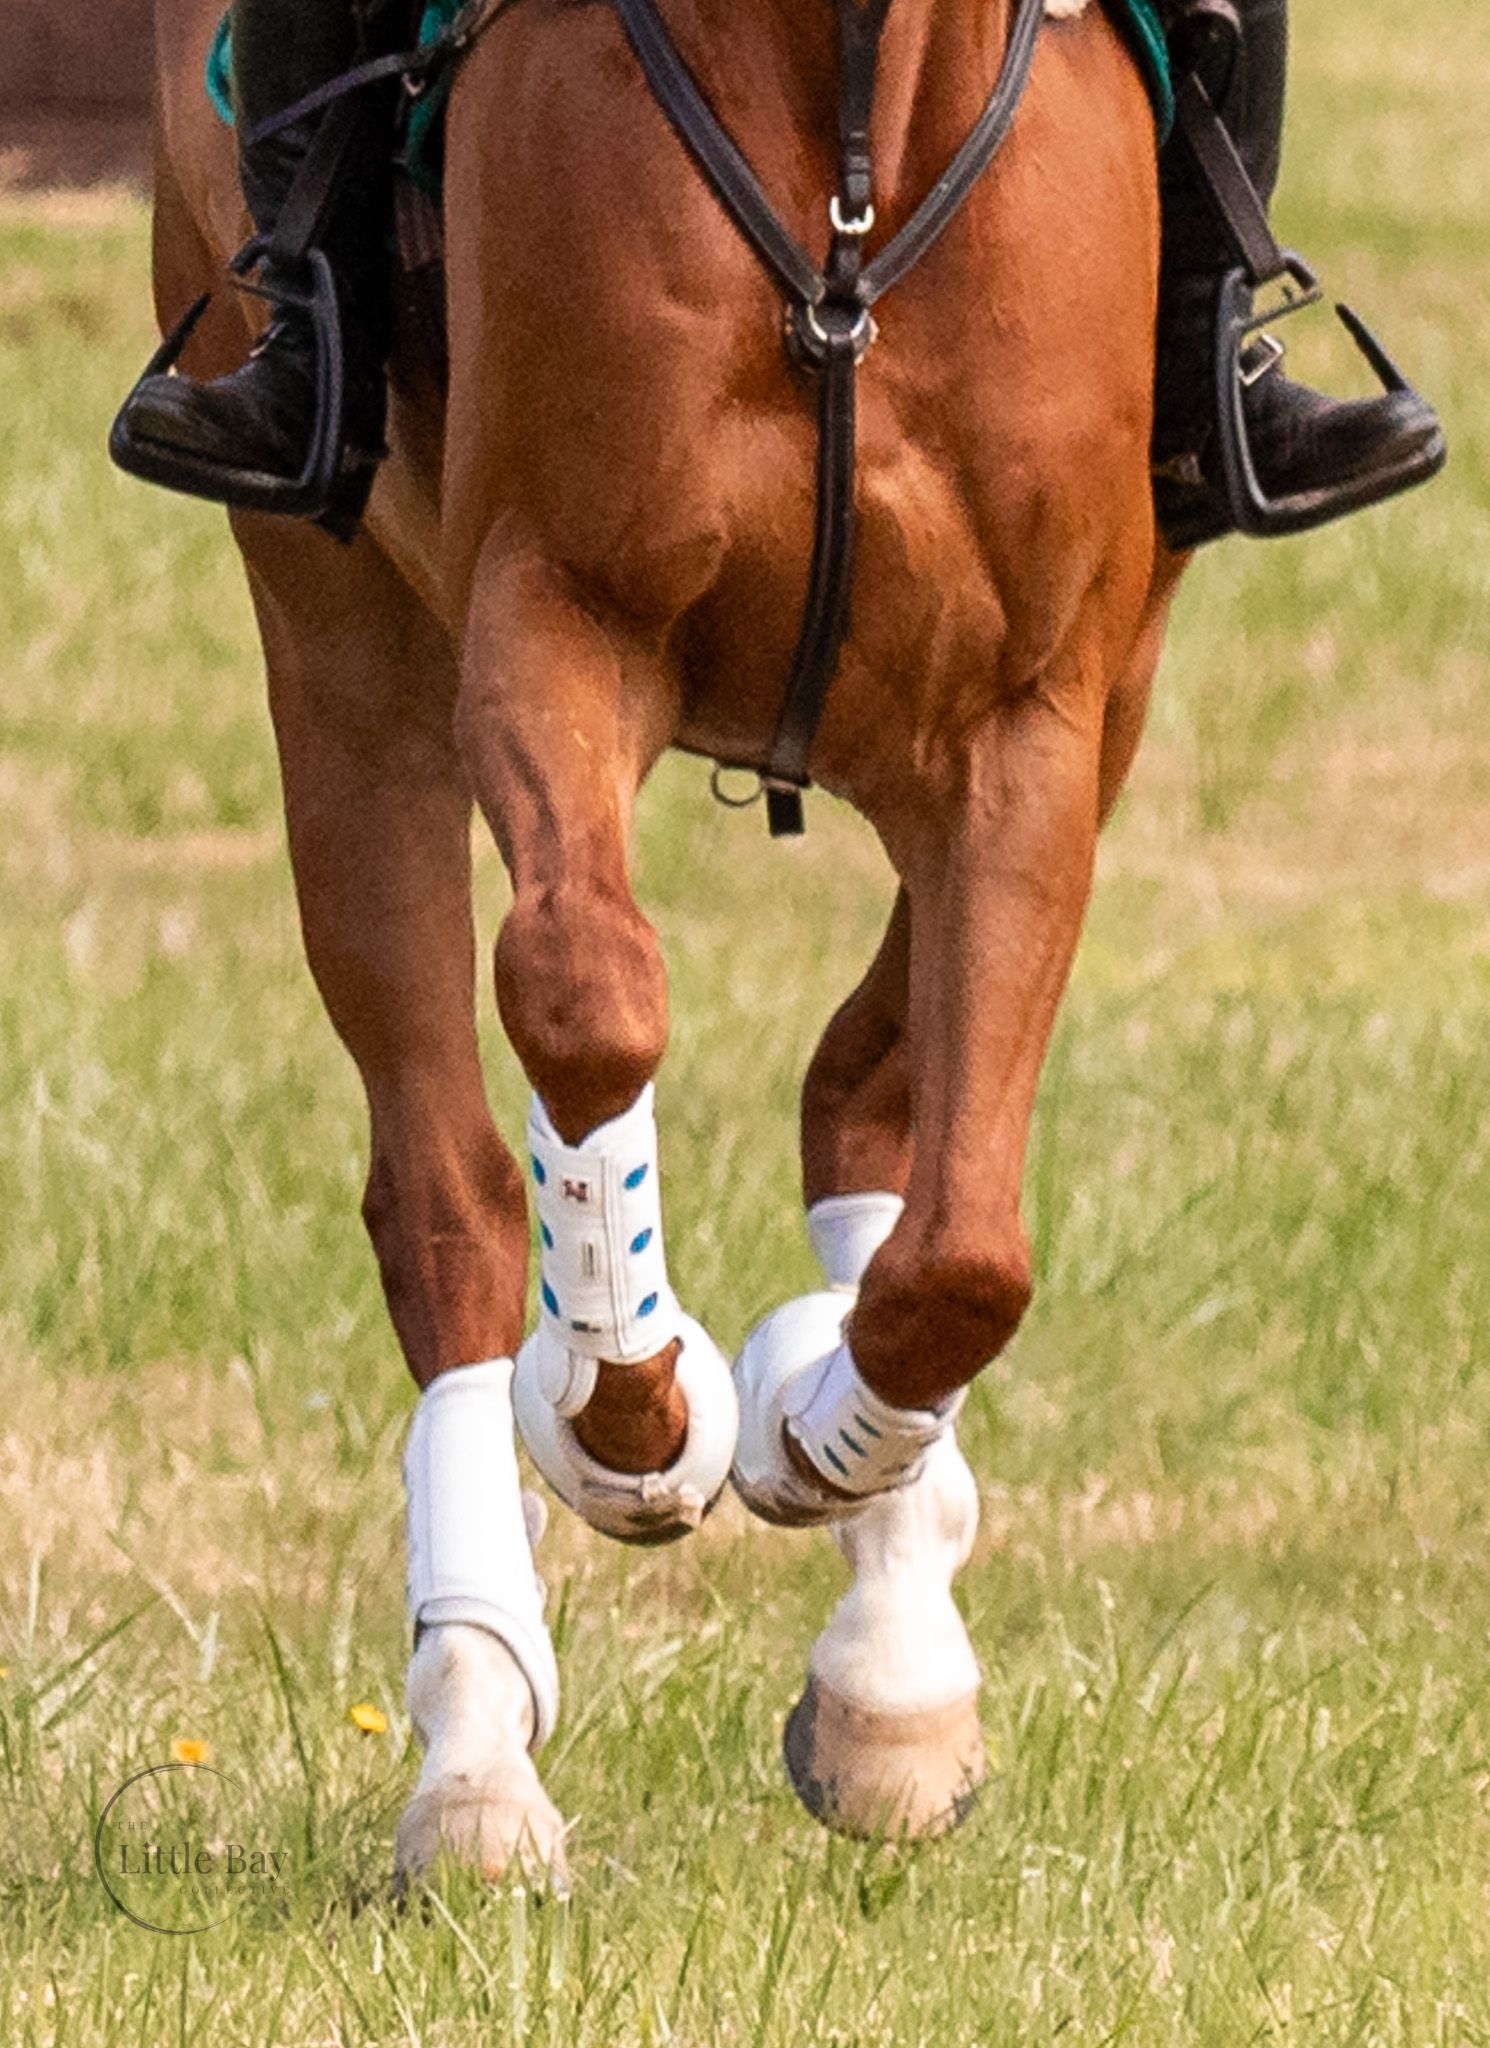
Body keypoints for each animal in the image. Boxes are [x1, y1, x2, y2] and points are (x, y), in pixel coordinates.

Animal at [144, 0, 1183, 1880]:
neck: (838, 113)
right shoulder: (555, 612)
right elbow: (585, 997)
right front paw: (629, 1403)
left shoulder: (1045, 711)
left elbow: (964, 1245)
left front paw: (821, 1434)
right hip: (337, 645)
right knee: (448, 1194)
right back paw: (476, 1756)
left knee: (871, 1101)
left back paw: (888, 1654)